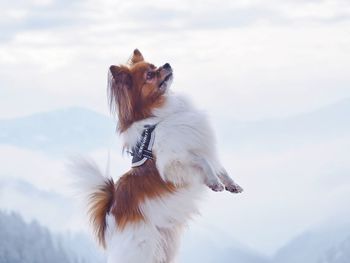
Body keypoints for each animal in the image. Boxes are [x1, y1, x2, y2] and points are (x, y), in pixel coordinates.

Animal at [72, 50, 242, 263]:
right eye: (150, 75)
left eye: (155, 66)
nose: (167, 64)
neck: (161, 117)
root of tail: (110, 214)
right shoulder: (174, 162)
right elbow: (204, 162)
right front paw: (215, 182)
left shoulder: (201, 146)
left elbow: (219, 167)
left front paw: (231, 184)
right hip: (142, 247)